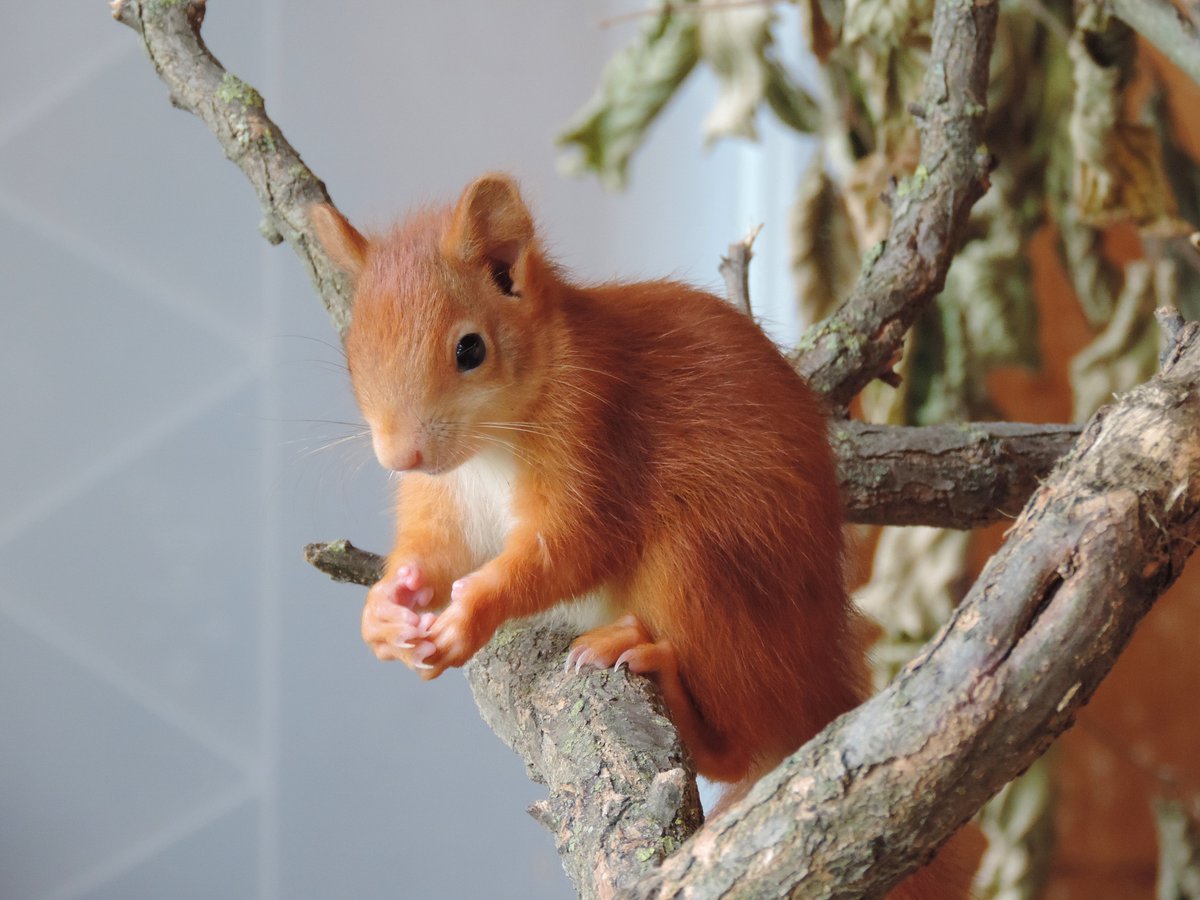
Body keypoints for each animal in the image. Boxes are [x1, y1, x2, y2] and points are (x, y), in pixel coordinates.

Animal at [310, 174, 978, 898]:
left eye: (470, 349)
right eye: (352, 354)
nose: (399, 455)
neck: (489, 446)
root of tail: (814, 673)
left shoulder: (596, 442)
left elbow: (569, 551)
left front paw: (472, 613)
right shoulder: (444, 502)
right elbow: (434, 554)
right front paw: (385, 611)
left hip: (695, 566)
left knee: (739, 747)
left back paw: (651, 664)